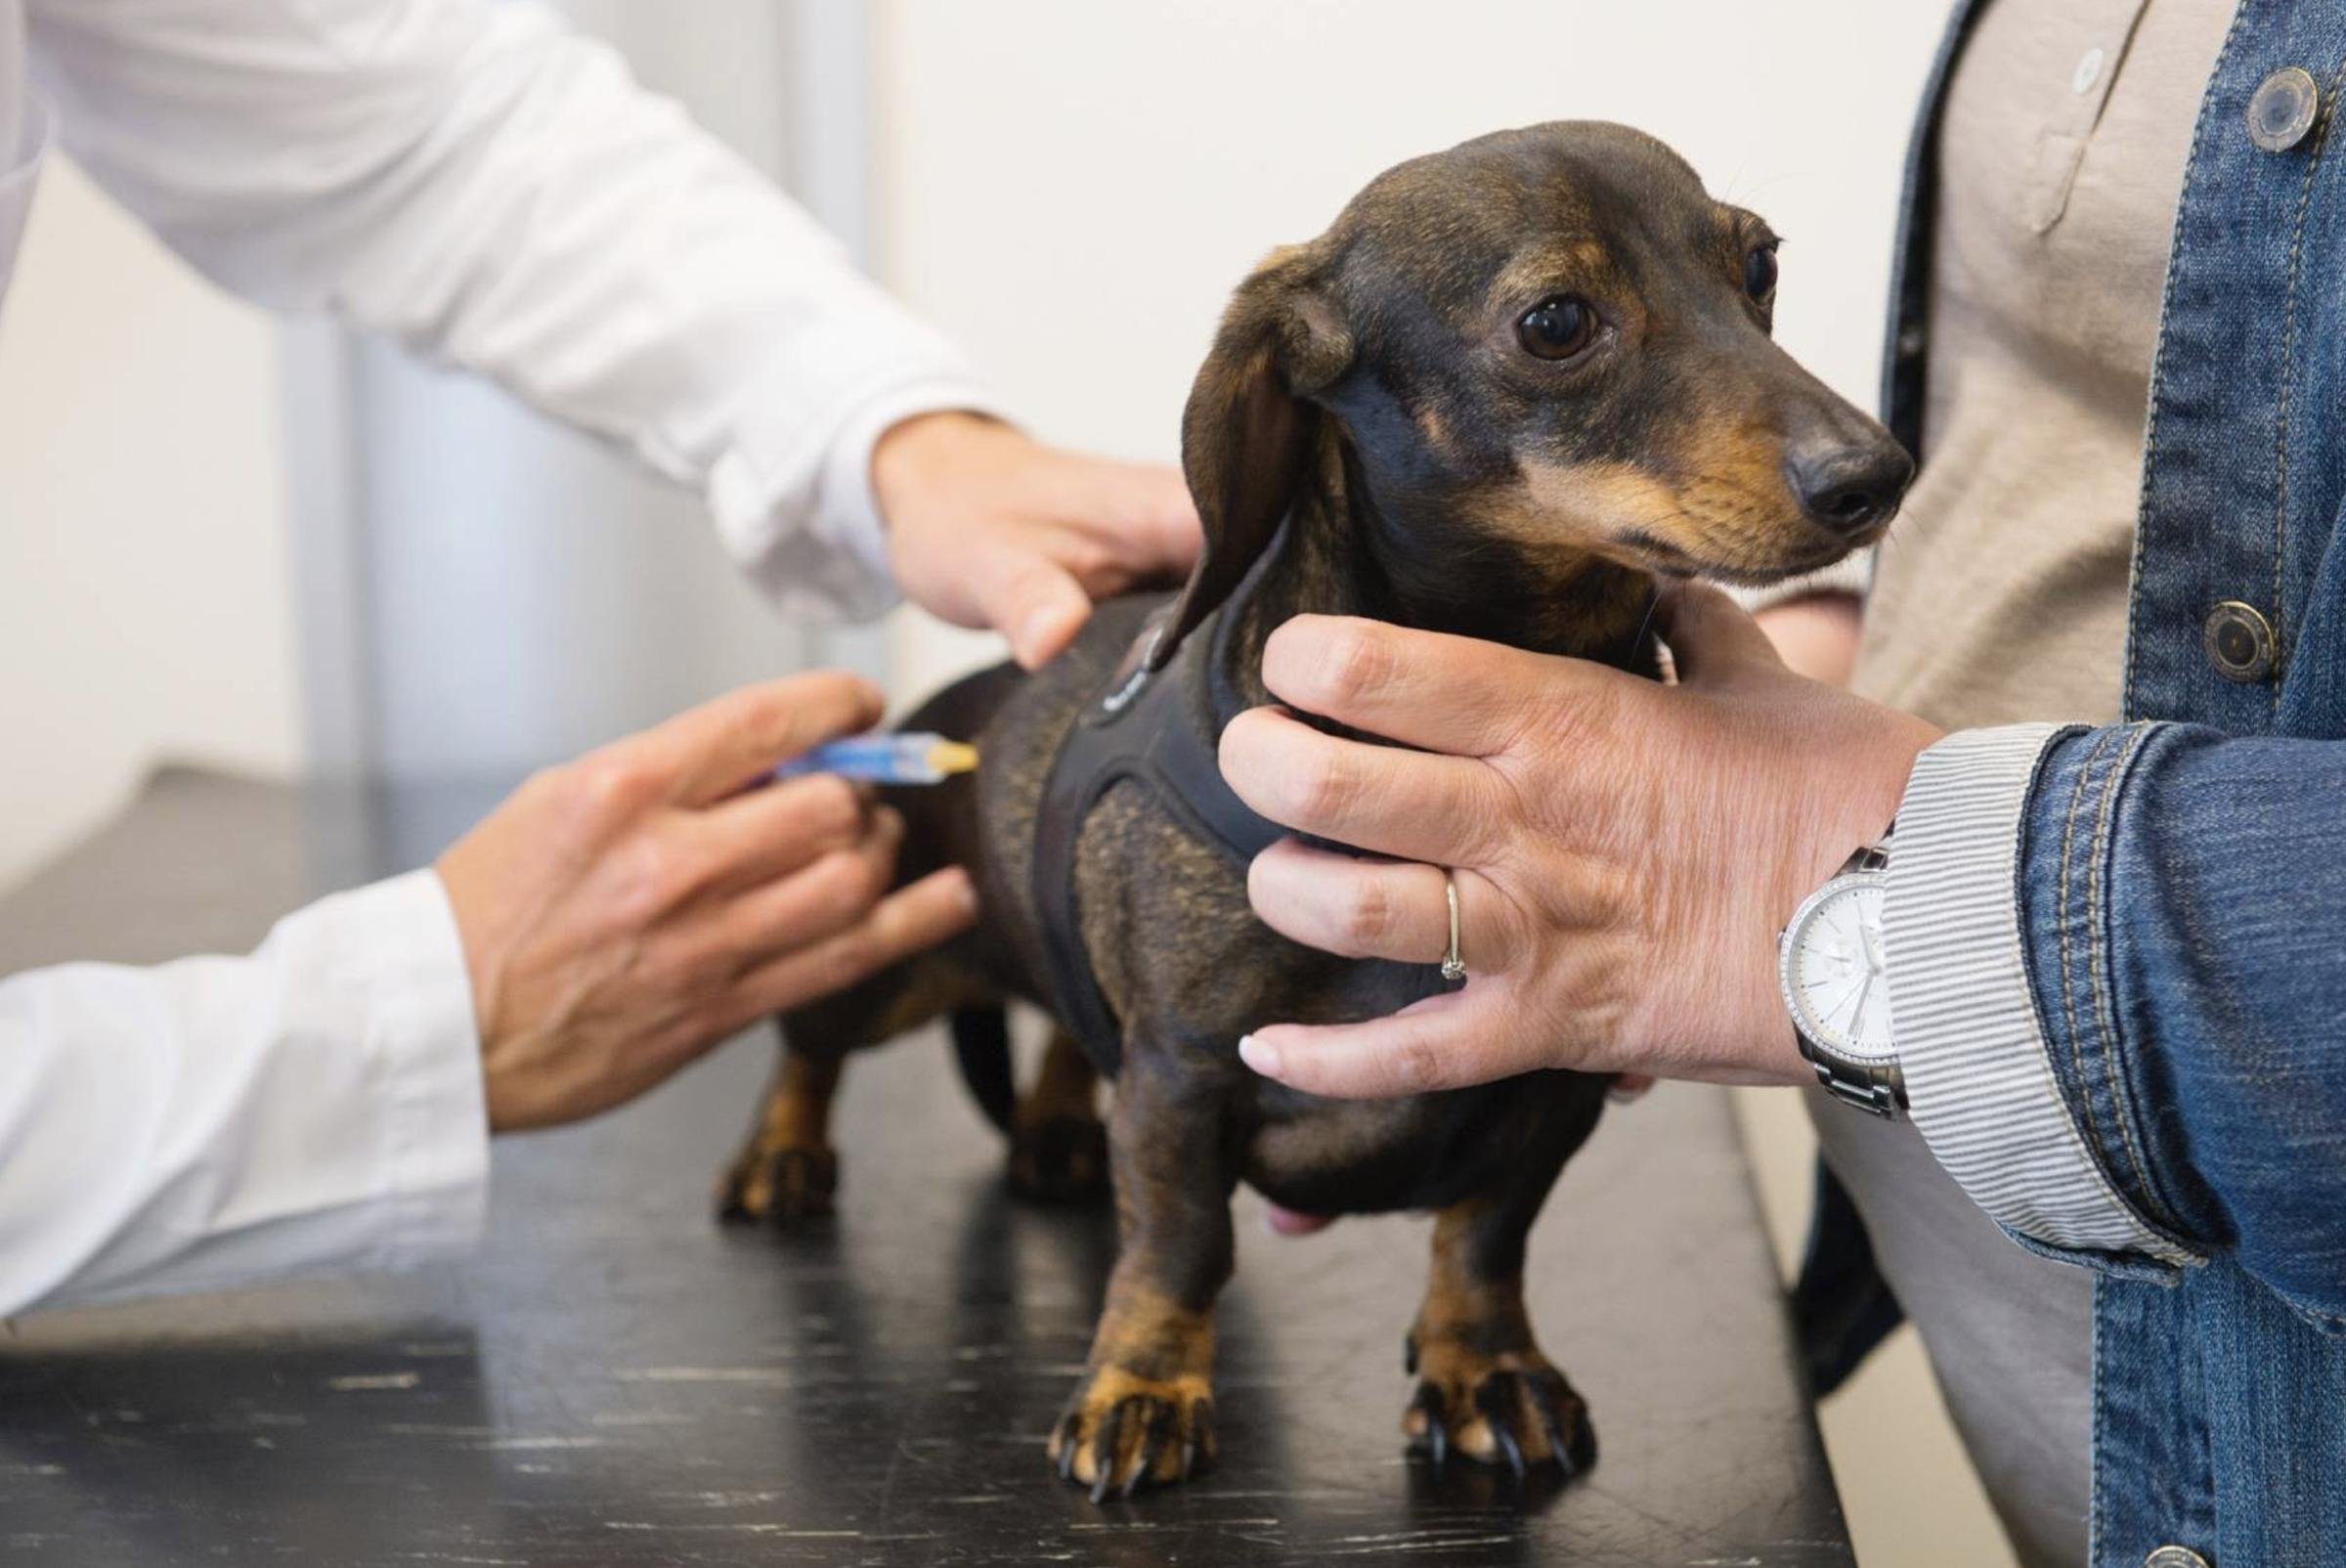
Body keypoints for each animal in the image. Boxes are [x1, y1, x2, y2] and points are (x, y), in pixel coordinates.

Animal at [708, 119, 1904, 1493]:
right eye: (1556, 321)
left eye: (1758, 265)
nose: (1878, 475)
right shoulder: (1180, 1076)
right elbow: (1179, 1244)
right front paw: (1142, 1385)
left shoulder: (1550, 1079)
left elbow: (1484, 1238)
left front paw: (1484, 1364)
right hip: (887, 956)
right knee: (810, 1045)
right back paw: (782, 1152)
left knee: (1064, 1031)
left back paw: (1055, 1131)